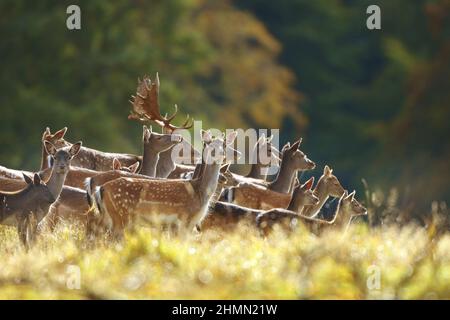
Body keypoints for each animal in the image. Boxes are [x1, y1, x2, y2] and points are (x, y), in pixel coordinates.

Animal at [88, 131, 241, 240]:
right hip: (121, 215)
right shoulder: (184, 220)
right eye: (210, 144)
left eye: (224, 144)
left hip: (107, 216)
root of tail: (101, 188)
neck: (201, 193)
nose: (220, 153)